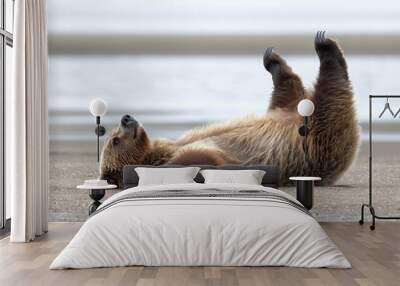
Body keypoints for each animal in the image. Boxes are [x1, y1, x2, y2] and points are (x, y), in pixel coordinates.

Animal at [100, 31, 360, 188]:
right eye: (115, 140)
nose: (126, 118)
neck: (159, 152)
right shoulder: (192, 156)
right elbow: (205, 159)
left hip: (291, 115)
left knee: (287, 94)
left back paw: (276, 61)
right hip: (318, 140)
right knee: (329, 96)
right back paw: (326, 50)